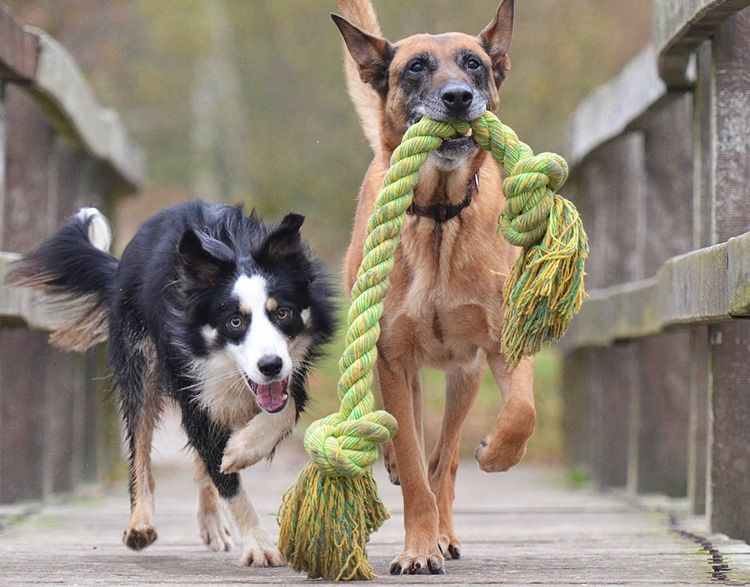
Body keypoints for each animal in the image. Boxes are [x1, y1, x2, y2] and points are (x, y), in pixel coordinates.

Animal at [334, 0, 536, 580]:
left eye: (473, 64)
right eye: (417, 67)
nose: (458, 97)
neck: (441, 215)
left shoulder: (501, 344)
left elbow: (521, 412)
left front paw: (496, 453)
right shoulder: (392, 356)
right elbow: (410, 457)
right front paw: (418, 548)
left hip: (464, 377)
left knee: (444, 458)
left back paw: (448, 528)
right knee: (414, 445)